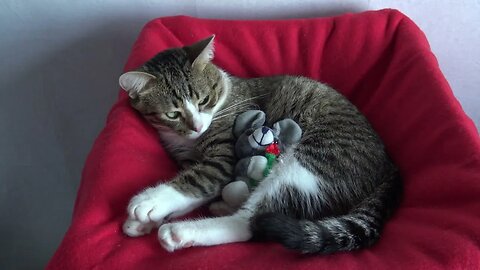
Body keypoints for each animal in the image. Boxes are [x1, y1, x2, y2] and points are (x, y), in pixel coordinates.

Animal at [119, 35, 402, 253]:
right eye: (172, 114)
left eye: (204, 100)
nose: (197, 126)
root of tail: (390, 168)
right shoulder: (187, 157)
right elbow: (196, 188)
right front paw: (145, 221)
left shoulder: (224, 156)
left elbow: (197, 180)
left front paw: (150, 203)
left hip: (309, 162)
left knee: (248, 223)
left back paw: (180, 232)